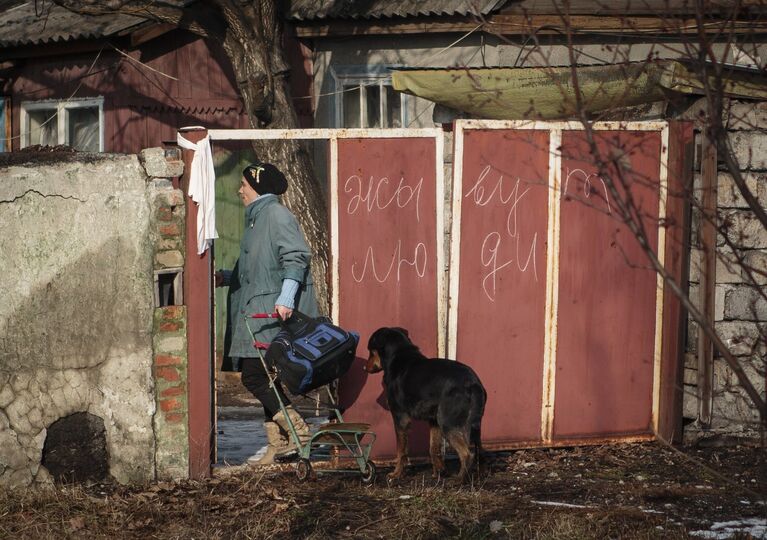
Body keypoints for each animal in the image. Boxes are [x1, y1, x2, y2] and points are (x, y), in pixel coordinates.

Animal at [364, 326, 486, 484]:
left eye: (370, 350)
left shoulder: (400, 417)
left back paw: (459, 479)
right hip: (473, 424)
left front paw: (396, 474)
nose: (364, 368)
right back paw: (480, 476)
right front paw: (439, 472)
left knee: (467, 453)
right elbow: (434, 448)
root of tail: (473, 383)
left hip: (448, 422)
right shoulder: (433, 421)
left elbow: (401, 450)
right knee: (480, 450)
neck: (398, 355)